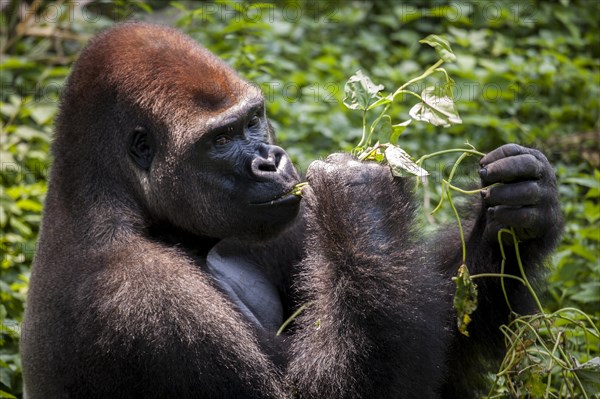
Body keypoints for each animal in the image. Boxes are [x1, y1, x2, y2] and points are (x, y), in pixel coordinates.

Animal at [18, 22, 564, 399]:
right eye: (220, 140)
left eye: (253, 120)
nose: (271, 161)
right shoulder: (144, 299)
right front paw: (360, 199)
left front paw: (522, 210)